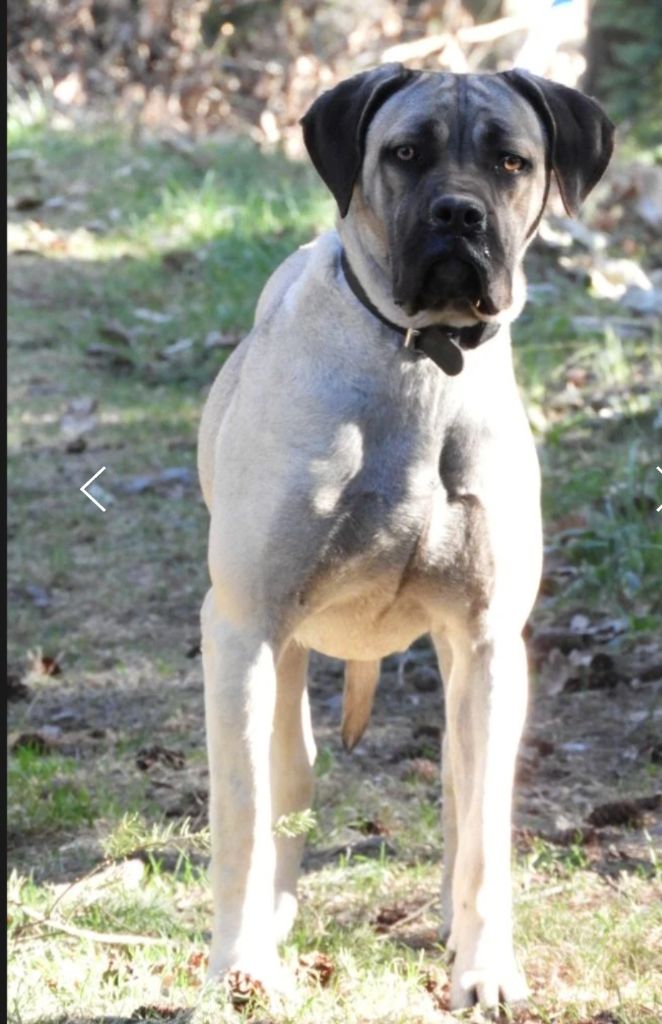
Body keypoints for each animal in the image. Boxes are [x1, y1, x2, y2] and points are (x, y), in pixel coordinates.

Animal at [197, 64, 613, 1011]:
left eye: (510, 160)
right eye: (406, 154)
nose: (458, 215)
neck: (423, 360)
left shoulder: (490, 641)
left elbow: (485, 830)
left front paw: (486, 968)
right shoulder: (244, 626)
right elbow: (245, 814)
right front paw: (242, 965)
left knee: (462, 791)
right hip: (279, 658)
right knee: (289, 778)